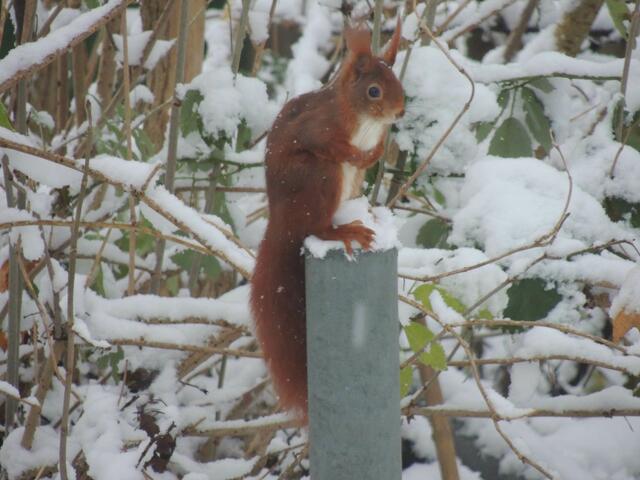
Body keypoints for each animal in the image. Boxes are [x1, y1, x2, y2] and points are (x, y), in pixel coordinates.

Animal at [250, 22, 404, 423]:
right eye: (374, 90)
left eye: (398, 80)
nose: (400, 112)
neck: (365, 122)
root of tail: (282, 223)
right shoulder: (319, 127)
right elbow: (325, 142)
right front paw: (357, 152)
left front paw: (375, 153)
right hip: (321, 178)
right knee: (316, 226)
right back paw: (344, 230)